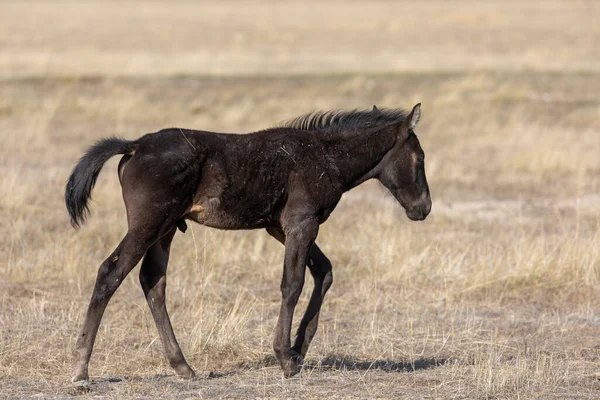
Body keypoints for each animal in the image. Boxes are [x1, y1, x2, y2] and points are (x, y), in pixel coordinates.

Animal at [65, 104, 432, 384]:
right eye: (421, 158)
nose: (423, 208)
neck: (324, 156)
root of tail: (135, 145)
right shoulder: (301, 224)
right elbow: (292, 284)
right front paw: (285, 358)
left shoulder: (279, 227)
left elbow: (324, 272)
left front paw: (299, 348)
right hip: (148, 224)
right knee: (110, 273)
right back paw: (81, 369)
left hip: (166, 228)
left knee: (153, 281)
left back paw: (183, 366)